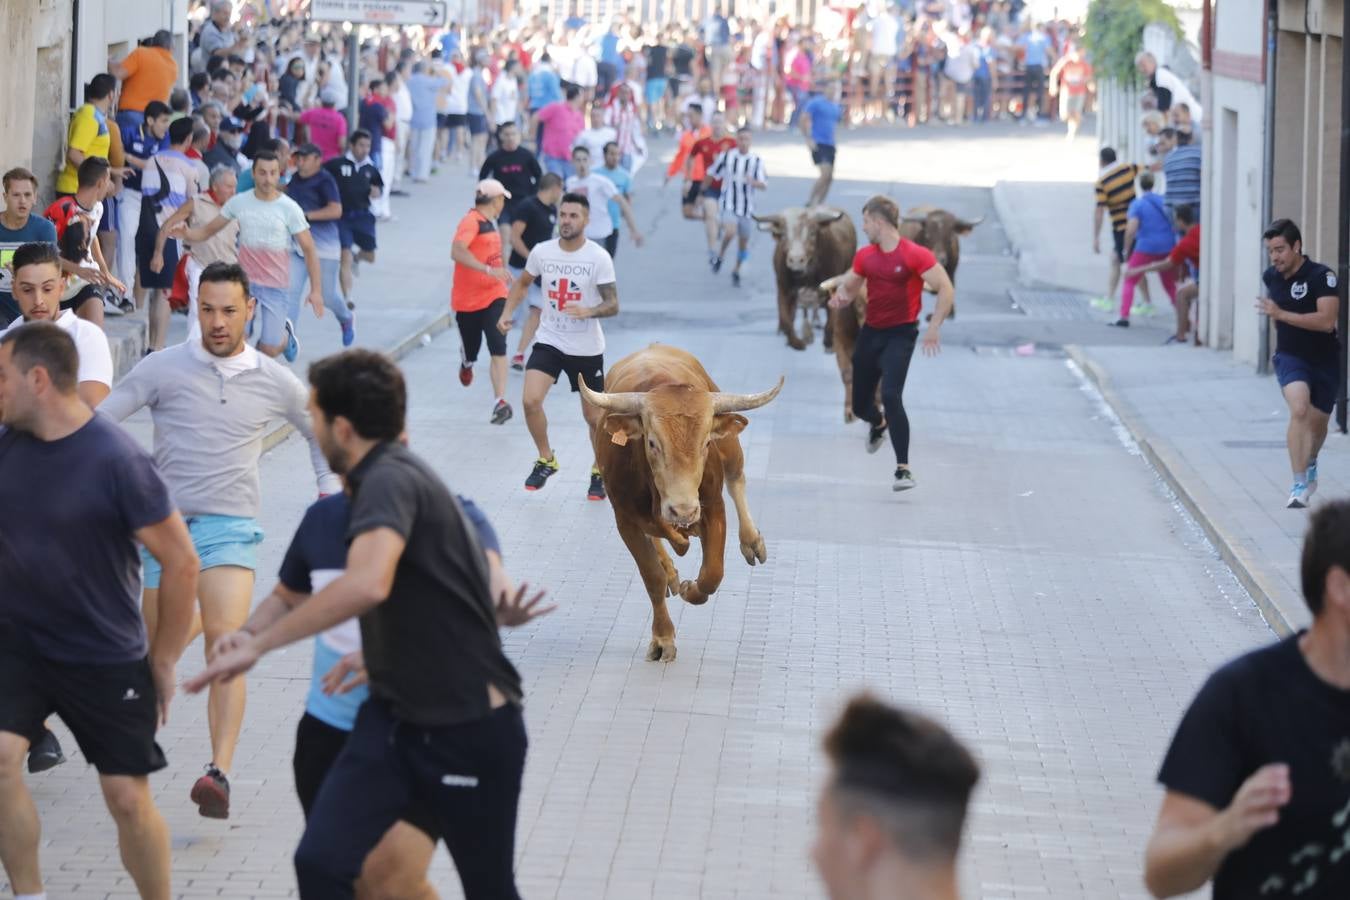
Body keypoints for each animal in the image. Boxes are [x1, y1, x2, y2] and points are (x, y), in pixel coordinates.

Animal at [580, 345, 783, 661]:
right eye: (652, 442)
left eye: (706, 443)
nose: (683, 510)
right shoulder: (625, 519)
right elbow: (652, 576)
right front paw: (663, 638)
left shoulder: (712, 506)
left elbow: (713, 572)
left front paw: (691, 589)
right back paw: (671, 564)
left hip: (730, 445)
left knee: (736, 477)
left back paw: (750, 541)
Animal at [756, 207, 858, 350]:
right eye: (783, 234)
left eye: (812, 232)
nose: (796, 260)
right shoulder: (783, 289)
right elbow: (786, 320)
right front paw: (795, 342)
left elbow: (831, 320)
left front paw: (828, 341)